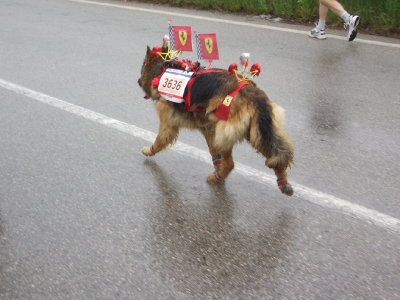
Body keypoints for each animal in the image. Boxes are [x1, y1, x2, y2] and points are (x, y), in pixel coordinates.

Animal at [138, 45, 294, 196]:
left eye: (142, 69)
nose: (138, 81)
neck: (161, 72)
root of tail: (254, 95)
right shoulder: (208, 130)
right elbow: (214, 154)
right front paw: (217, 167)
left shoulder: (168, 124)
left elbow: (159, 140)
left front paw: (149, 151)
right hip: (256, 133)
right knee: (276, 155)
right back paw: (283, 182)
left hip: (225, 134)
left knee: (230, 163)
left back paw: (217, 178)